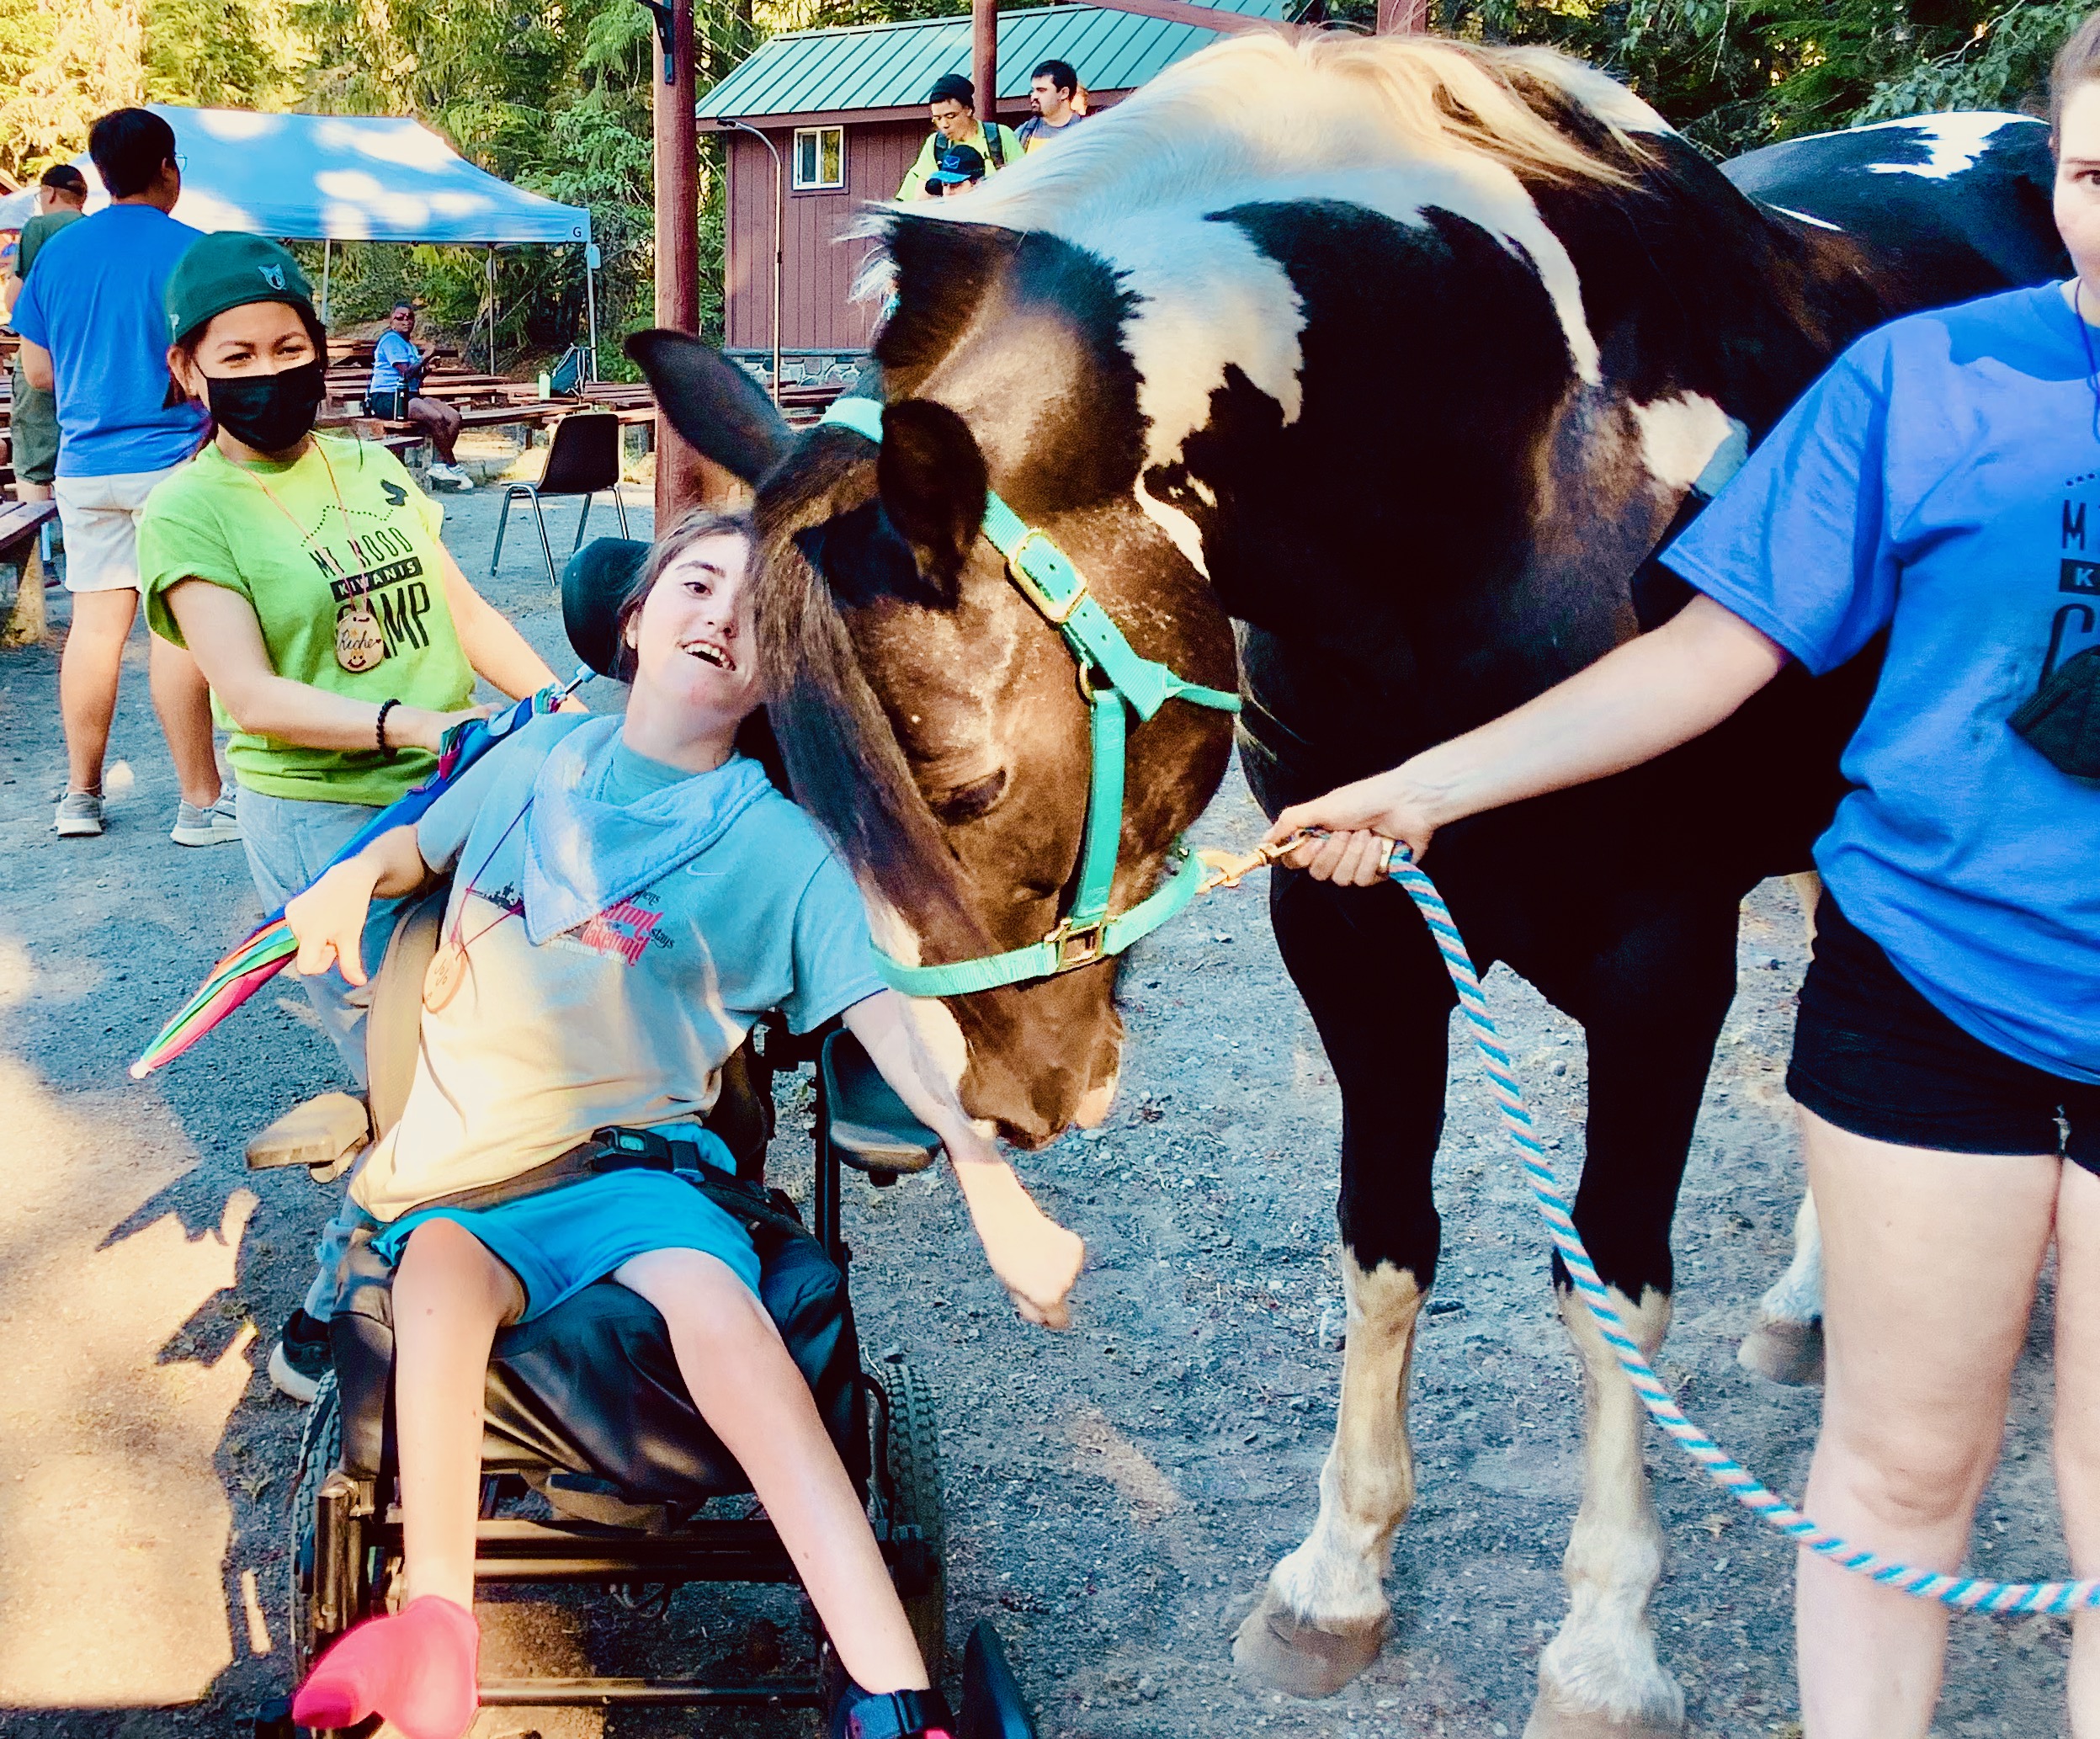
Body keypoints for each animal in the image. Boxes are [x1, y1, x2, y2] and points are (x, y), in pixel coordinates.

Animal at [625, 34, 2066, 1731]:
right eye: (778, 768)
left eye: (966, 781)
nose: (1004, 1103)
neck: (1522, 469)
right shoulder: (1352, 919)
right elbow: (1385, 1242)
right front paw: (1334, 1579)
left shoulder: (1661, 960)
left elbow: (1614, 1283)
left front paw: (1603, 1644)